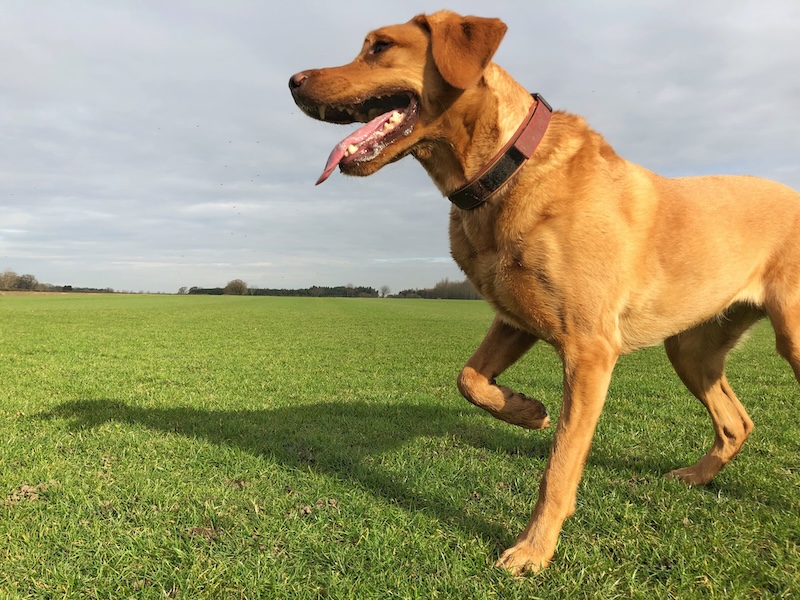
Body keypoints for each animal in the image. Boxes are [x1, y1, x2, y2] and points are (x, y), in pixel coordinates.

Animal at [290, 8, 800, 572]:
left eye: (379, 47)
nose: (293, 81)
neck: (504, 171)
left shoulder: (590, 349)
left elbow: (560, 464)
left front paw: (533, 549)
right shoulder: (516, 319)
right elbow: (468, 377)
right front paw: (526, 410)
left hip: (790, 336)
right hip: (692, 348)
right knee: (737, 422)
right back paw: (694, 476)